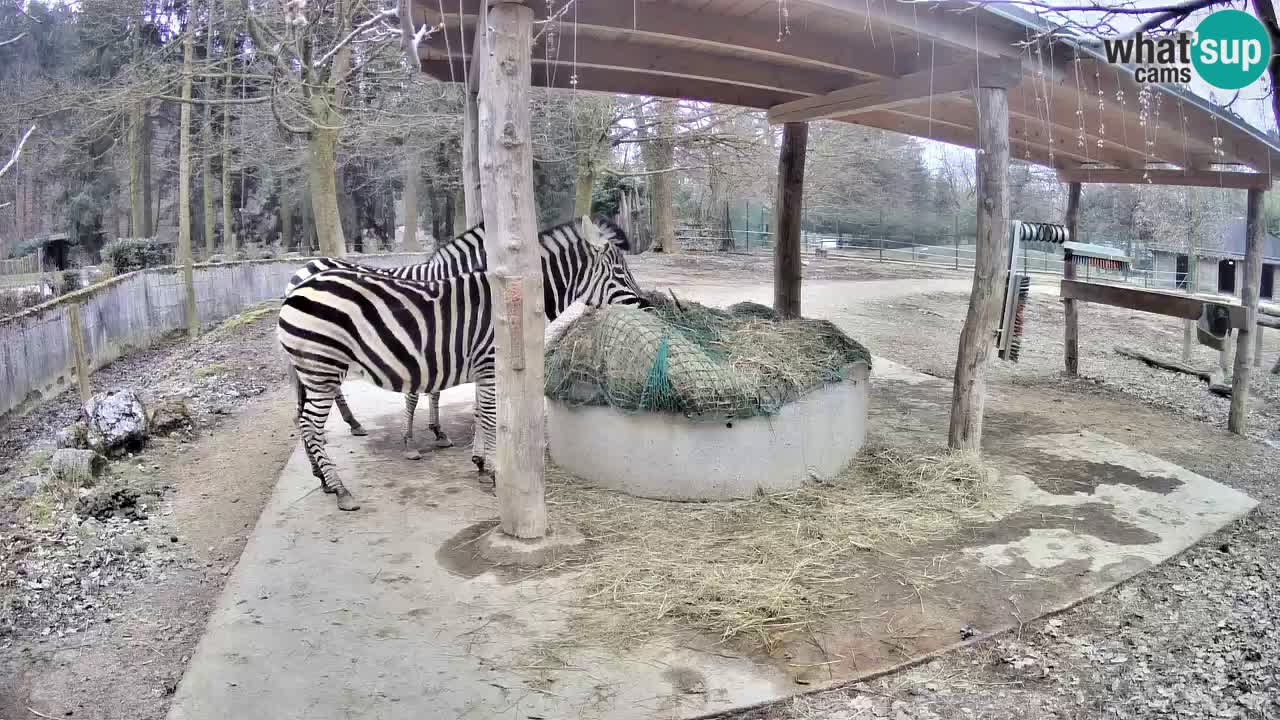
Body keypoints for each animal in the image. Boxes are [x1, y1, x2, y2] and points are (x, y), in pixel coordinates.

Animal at [273, 215, 645, 507]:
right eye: (619, 272)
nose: (647, 306)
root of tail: (298, 285)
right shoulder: (490, 363)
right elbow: (490, 417)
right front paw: (493, 473)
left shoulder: (478, 366)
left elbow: (479, 411)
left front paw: (479, 461)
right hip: (322, 366)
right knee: (310, 424)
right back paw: (340, 489)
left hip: (312, 369)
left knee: (301, 419)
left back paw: (322, 479)